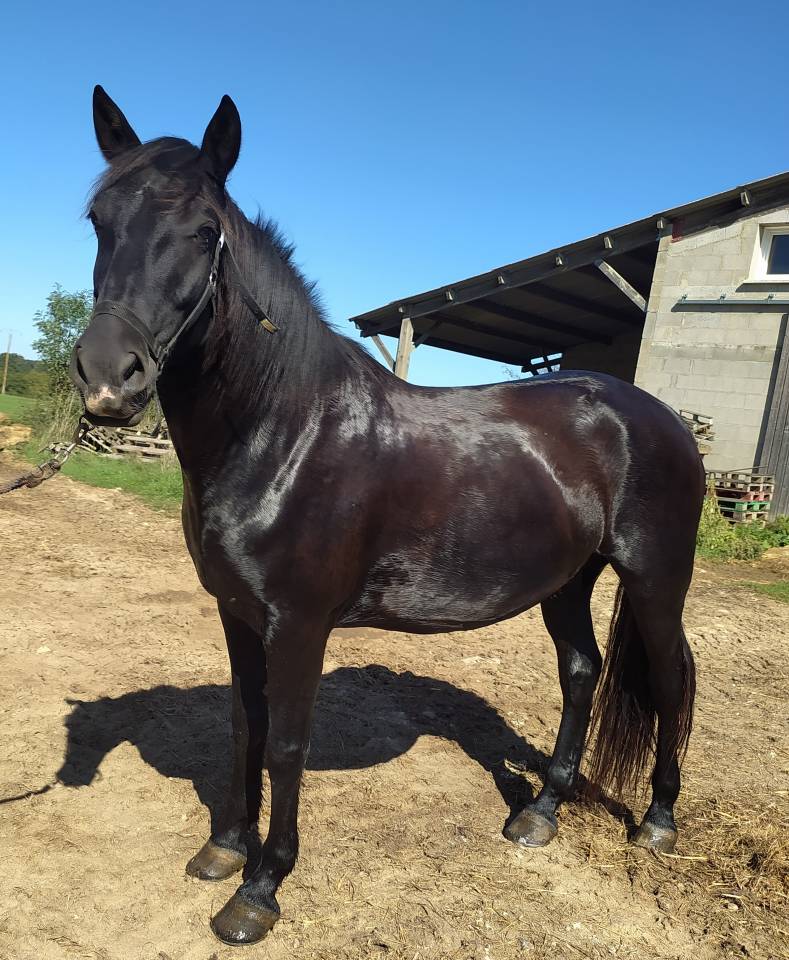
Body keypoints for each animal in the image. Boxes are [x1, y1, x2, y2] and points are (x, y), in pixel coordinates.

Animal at [69, 85, 702, 946]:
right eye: (99, 219)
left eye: (204, 232)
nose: (108, 377)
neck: (285, 429)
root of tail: (656, 415)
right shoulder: (237, 614)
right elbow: (244, 725)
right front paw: (223, 849)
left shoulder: (299, 624)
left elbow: (287, 743)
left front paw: (259, 890)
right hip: (567, 583)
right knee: (581, 675)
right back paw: (538, 814)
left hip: (654, 580)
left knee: (669, 681)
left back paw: (658, 822)